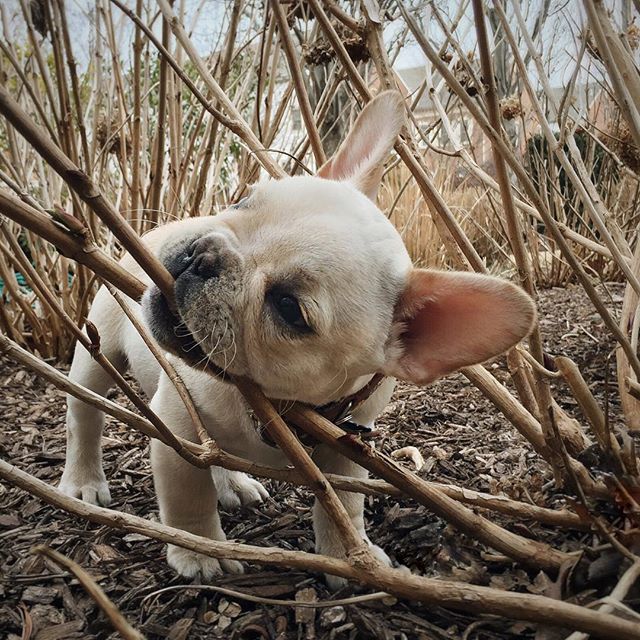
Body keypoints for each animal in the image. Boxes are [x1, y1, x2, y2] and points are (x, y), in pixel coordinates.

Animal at [60, 92, 536, 588]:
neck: (272, 406)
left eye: (288, 307)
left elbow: (343, 504)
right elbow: (187, 493)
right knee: (85, 414)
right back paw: (83, 481)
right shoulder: (177, 427)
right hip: (97, 349)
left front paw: (348, 552)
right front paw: (200, 550)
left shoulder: (350, 449)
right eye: (240, 199)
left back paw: (234, 484)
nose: (201, 255)